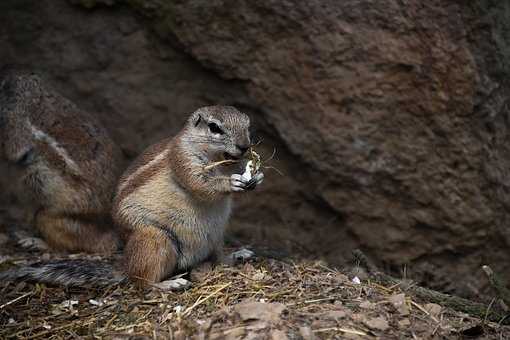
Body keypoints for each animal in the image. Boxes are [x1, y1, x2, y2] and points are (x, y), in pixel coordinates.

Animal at [0, 105, 262, 288]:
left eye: (248, 125)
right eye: (214, 128)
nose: (244, 146)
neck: (220, 162)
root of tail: (126, 264)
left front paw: (256, 176)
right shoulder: (182, 159)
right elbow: (199, 184)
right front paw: (231, 182)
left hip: (216, 236)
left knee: (219, 258)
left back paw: (237, 255)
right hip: (155, 238)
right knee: (141, 281)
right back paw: (168, 283)